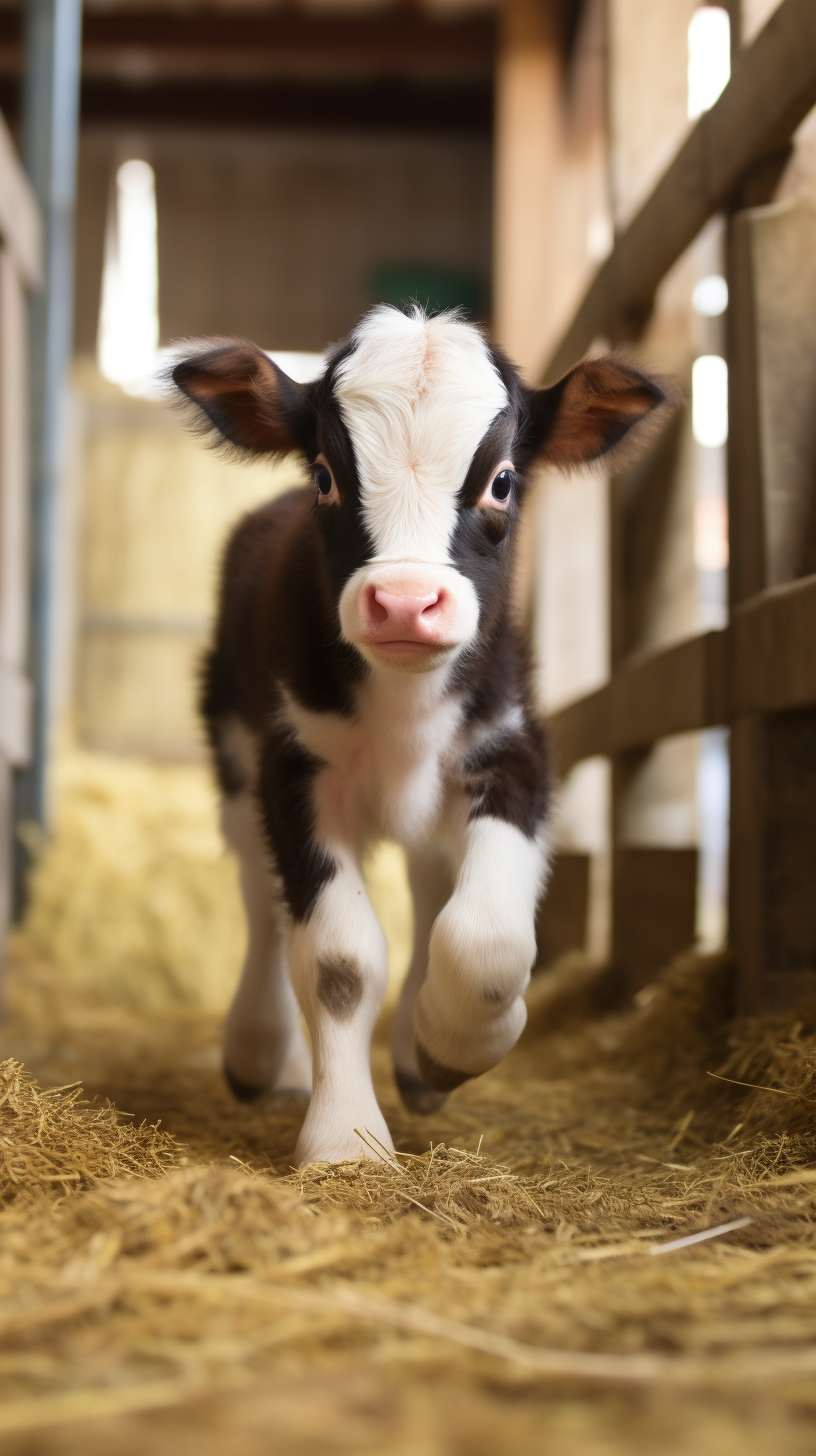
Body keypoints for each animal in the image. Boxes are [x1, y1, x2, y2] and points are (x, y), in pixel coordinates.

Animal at [171, 304, 664, 1158]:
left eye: (502, 480)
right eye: (325, 476)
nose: (404, 602)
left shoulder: (514, 749)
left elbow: (486, 938)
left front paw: (448, 1045)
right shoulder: (295, 768)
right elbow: (337, 959)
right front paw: (344, 1137)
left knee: (435, 887)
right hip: (232, 747)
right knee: (261, 898)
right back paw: (265, 1055)